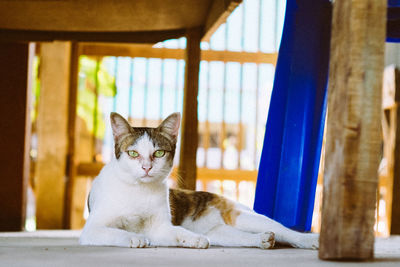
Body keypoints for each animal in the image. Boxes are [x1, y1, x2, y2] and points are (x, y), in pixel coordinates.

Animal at [79, 112, 318, 250]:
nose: (146, 168)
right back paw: (262, 240)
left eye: (158, 153)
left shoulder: (160, 227)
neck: (139, 190)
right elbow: (115, 232)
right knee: (244, 237)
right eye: (133, 154)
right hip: (222, 233)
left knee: (285, 231)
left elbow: (179, 232)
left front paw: (194, 240)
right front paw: (134, 238)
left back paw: (309, 241)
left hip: (244, 217)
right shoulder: (92, 229)